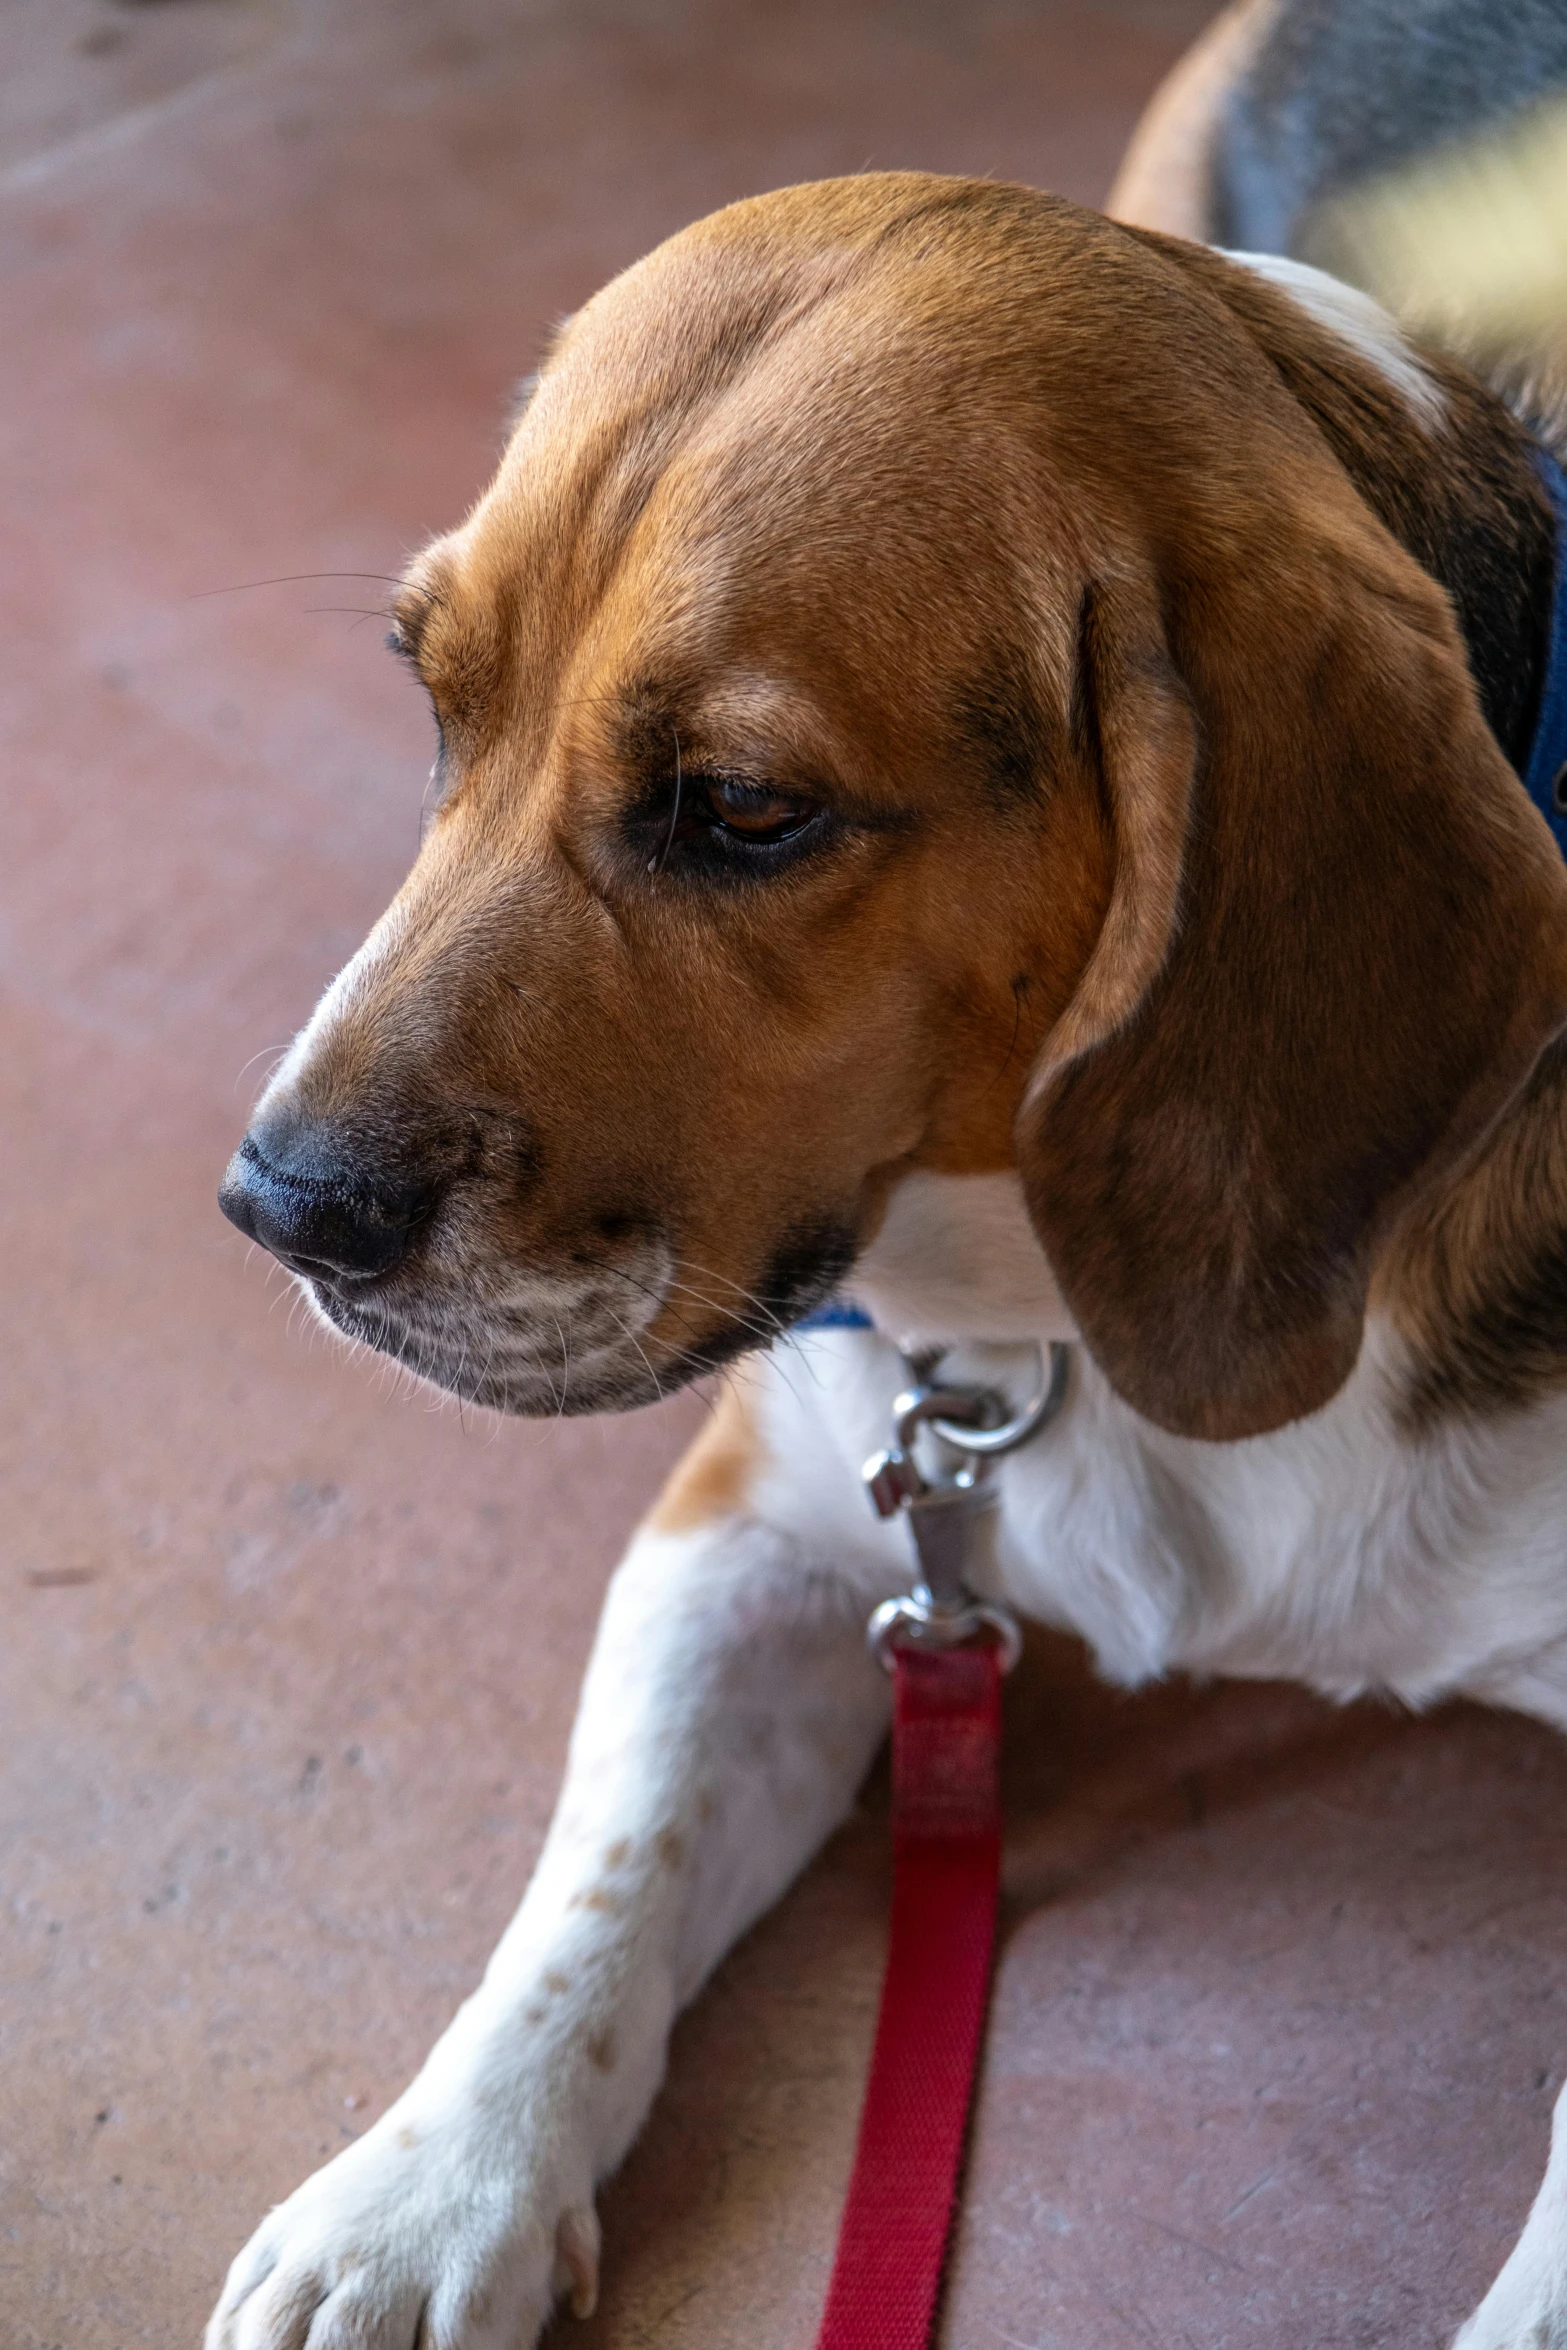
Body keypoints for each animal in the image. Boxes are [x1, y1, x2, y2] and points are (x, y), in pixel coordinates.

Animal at [217, 165, 1567, 2350]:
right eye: (433, 696)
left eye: (745, 810)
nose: (277, 1205)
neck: (1056, 1315)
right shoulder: (751, 1536)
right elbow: (601, 1876)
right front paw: (417, 2202)